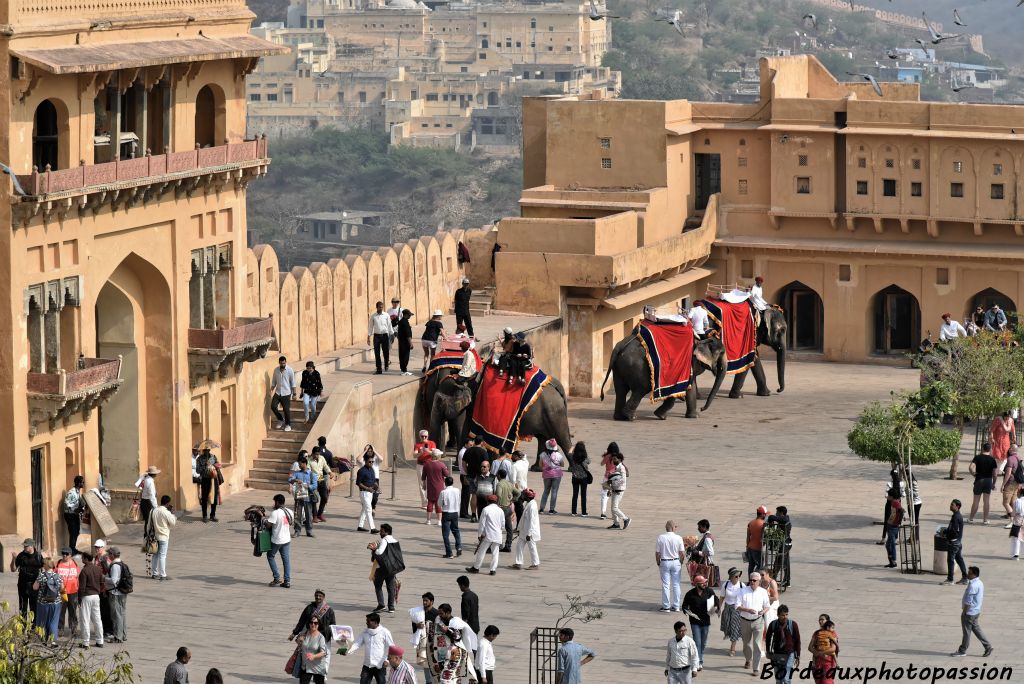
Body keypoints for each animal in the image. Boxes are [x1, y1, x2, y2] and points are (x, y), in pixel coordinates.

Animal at [598, 331, 729, 421]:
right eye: (721, 353)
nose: (702, 408)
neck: (701, 339)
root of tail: (620, 346)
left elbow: (690, 387)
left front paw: (694, 416)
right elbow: (681, 388)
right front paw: (661, 416)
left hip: (619, 368)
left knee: (621, 391)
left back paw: (619, 417)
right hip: (636, 367)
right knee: (640, 390)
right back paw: (630, 417)